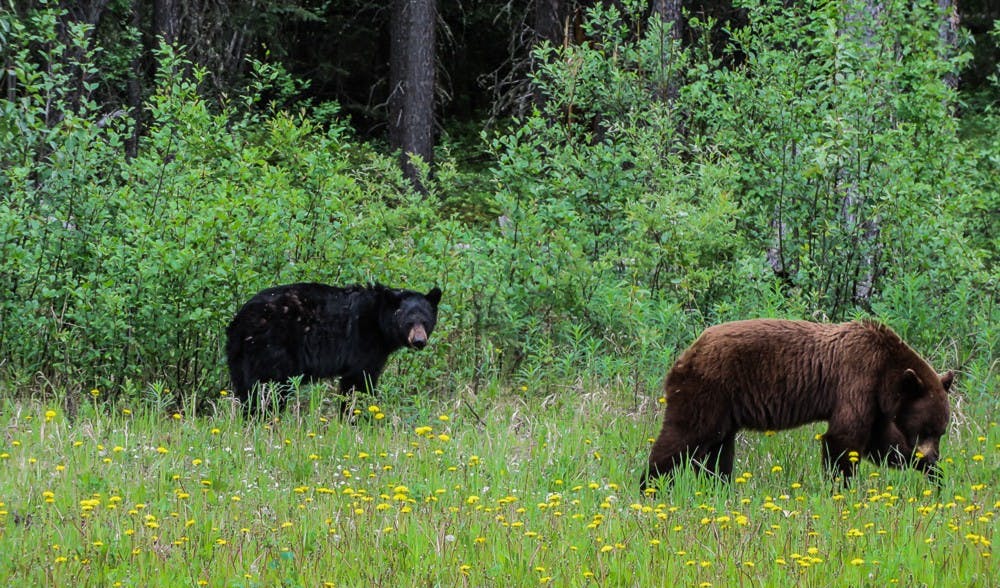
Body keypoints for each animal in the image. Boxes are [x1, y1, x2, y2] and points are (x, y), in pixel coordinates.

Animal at [232, 282, 444, 416]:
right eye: (408, 322)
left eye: (425, 320)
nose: (419, 341)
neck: (378, 321)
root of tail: (240, 321)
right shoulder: (362, 342)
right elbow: (358, 380)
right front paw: (357, 417)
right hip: (271, 349)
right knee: (268, 388)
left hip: (240, 357)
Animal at [640, 320, 952, 494]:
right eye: (926, 428)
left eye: (941, 431)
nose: (933, 453)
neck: (885, 372)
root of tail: (684, 356)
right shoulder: (856, 380)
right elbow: (843, 440)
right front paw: (841, 490)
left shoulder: (874, 404)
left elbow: (884, 444)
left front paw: (935, 475)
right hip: (709, 390)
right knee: (684, 437)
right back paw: (650, 488)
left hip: (724, 409)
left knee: (718, 453)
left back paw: (720, 490)